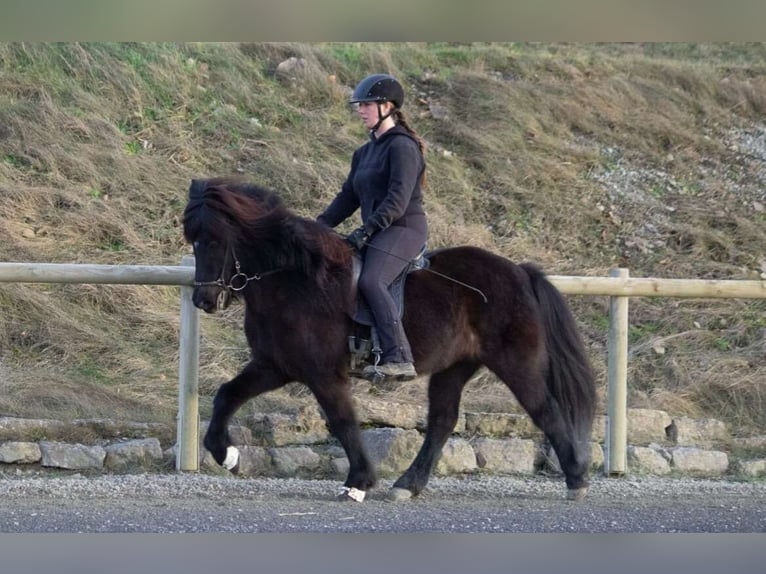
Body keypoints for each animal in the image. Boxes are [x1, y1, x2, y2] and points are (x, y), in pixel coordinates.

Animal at [183, 176, 597, 502]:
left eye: (215, 241)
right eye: (194, 241)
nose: (204, 300)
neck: (294, 280)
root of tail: (520, 272)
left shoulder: (323, 374)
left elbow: (343, 421)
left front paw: (359, 482)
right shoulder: (275, 365)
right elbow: (227, 394)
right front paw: (226, 455)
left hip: (516, 363)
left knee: (545, 410)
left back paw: (576, 480)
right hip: (454, 367)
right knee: (442, 421)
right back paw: (408, 485)